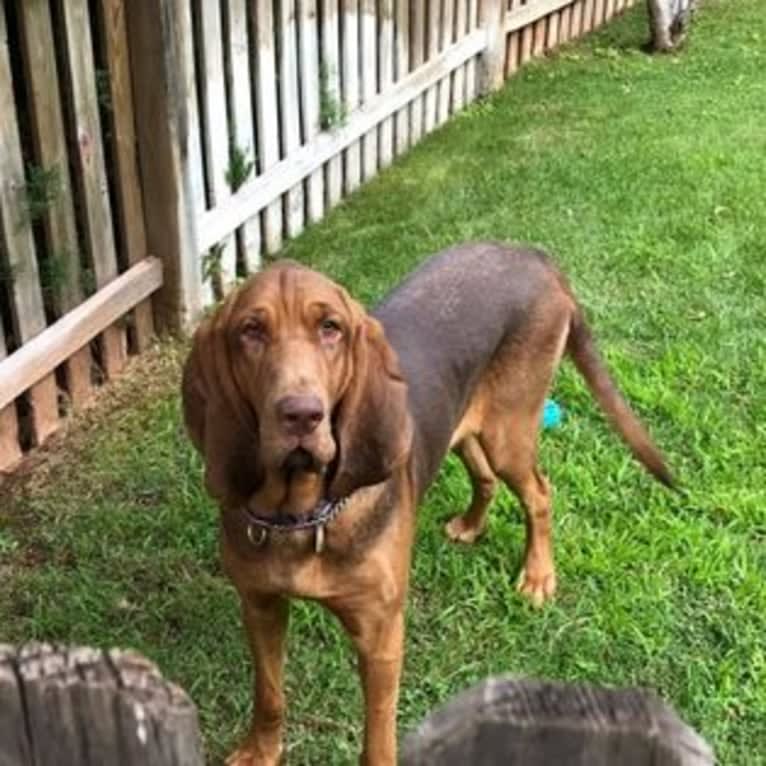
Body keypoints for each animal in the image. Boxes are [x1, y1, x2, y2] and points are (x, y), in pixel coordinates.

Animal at [183, 243, 676, 764]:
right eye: (250, 331)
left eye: (330, 327)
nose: (301, 414)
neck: (301, 517)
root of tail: (532, 254)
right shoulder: (260, 607)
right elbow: (269, 694)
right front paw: (260, 750)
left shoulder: (380, 636)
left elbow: (377, 739)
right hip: (465, 426)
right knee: (484, 476)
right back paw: (472, 525)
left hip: (510, 432)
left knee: (540, 493)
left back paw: (538, 575)